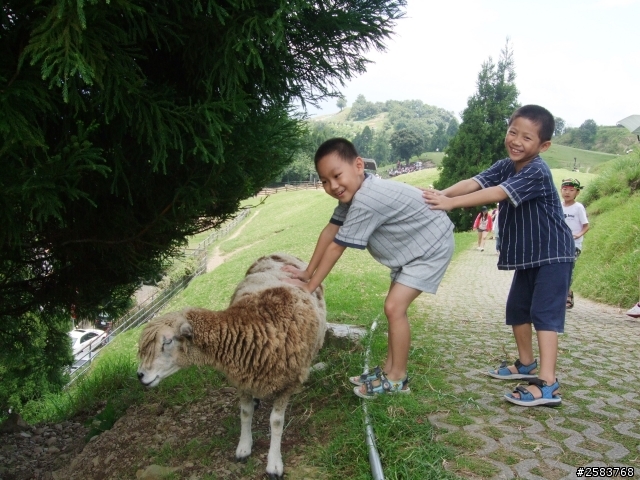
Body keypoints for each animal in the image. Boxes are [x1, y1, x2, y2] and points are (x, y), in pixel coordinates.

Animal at [135, 253, 324, 478]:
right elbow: (245, 412)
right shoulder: (242, 379)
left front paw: (274, 462)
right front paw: (244, 447)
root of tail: (279, 254)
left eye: (167, 341)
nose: (140, 375)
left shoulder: (287, 382)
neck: (254, 328)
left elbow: (276, 422)